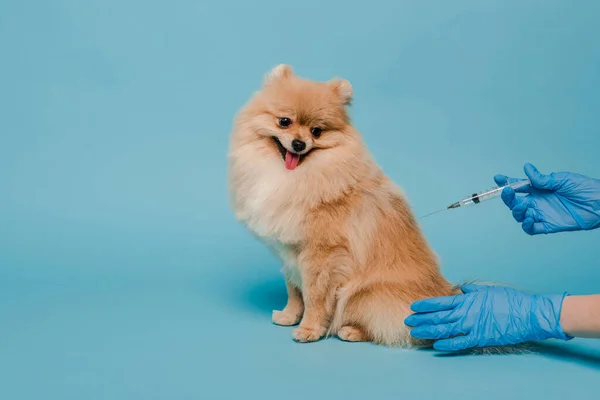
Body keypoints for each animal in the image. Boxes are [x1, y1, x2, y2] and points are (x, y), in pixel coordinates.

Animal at [227, 65, 458, 346]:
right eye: (284, 122)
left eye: (316, 131)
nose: (299, 144)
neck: (293, 177)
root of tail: (444, 293)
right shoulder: (289, 251)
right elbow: (294, 289)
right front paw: (289, 315)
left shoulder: (321, 256)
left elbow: (314, 296)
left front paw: (308, 329)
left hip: (366, 293)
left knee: (395, 328)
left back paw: (351, 331)